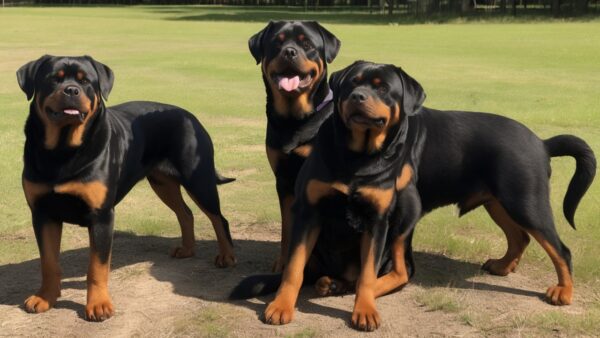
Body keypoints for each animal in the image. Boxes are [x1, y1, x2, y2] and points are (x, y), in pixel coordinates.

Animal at [17, 55, 237, 322]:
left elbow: (97, 267)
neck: (62, 150)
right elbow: (48, 262)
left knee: (218, 218)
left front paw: (98, 305)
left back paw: (227, 256)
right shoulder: (42, 213)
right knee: (185, 213)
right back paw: (187, 249)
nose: (71, 90)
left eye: (85, 81)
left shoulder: (101, 215)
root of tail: (190, 115)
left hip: (199, 178)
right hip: (163, 183)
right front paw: (45, 298)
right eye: (53, 79)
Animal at [231, 60, 596, 330]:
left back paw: (563, 292)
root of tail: (541, 142)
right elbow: (294, 267)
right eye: (351, 84)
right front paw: (281, 306)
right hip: (498, 202)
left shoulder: (378, 218)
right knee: (519, 237)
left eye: (382, 88)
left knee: (559, 248)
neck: (358, 156)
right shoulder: (309, 211)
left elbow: (368, 273)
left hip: (520, 201)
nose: (357, 96)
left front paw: (364, 309)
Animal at [248, 20, 340, 270]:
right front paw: (283, 263)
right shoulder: (283, 180)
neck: (294, 120)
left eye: (306, 43)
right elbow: (287, 229)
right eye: (276, 43)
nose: (289, 52)